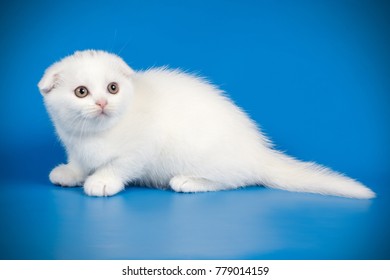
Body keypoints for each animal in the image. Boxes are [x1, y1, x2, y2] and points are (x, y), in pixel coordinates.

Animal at [38, 50, 374, 199]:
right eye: (82, 92)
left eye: (112, 88)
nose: (102, 104)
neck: (94, 136)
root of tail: (258, 152)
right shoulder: (75, 145)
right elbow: (79, 161)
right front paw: (71, 173)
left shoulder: (142, 147)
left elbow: (121, 164)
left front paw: (102, 180)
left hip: (203, 155)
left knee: (236, 180)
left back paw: (188, 182)